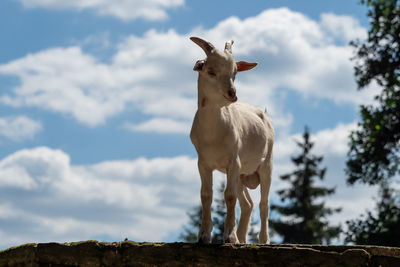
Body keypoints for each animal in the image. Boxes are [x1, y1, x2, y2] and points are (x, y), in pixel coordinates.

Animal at [189, 37, 274, 245]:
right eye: (211, 71)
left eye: (235, 72)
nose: (232, 94)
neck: (213, 134)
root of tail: (265, 116)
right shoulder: (203, 163)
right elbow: (206, 195)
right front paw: (204, 236)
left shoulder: (233, 162)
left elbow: (229, 196)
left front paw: (229, 237)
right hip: (242, 175)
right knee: (248, 204)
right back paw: (243, 239)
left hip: (266, 165)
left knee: (264, 203)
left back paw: (262, 240)